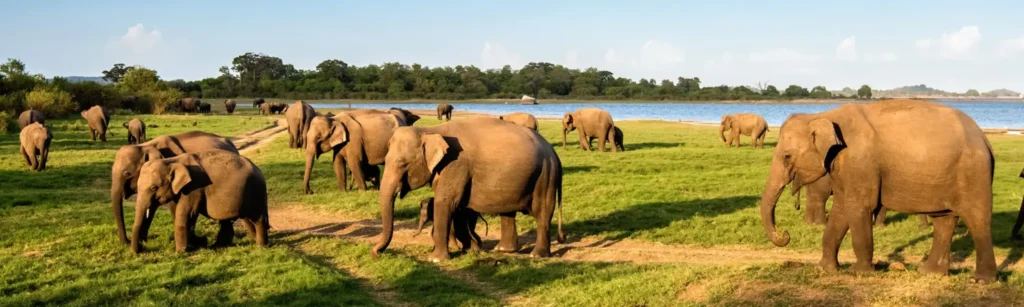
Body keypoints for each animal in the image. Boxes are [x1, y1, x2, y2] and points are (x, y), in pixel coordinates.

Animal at [130, 149, 270, 252]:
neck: (172, 161)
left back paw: (261, 246)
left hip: (256, 192)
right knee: (231, 220)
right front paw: (201, 242)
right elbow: (179, 214)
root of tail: (259, 170)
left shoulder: (194, 188)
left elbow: (186, 215)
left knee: (258, 218)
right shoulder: (181, 190)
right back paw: (218, 247)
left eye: (154, 188)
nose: (142, 247)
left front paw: (180, 252)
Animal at [372, 117, 565, 260]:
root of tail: (554, 153)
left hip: (545, 175)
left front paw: (436, 259)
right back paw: (503, 250)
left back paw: (536, 255)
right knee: (507, 212)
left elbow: (446, 202)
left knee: (542, 211)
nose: (375, 253)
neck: (430, 129)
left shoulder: (456, 165)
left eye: (402, 164)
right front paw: (471, 249)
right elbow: (459, 207)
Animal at [761, 98, 991, 282]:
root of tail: (983, 138)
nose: (784, 234)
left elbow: (859, 207)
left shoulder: (860, 162)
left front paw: (860, 272)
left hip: (973, 173)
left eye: (786, 156)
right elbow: (841, 209)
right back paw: (929, 272)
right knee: (944, 220)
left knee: (976, 220)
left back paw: (981, 280)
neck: (824, 115)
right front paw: (825, 269)